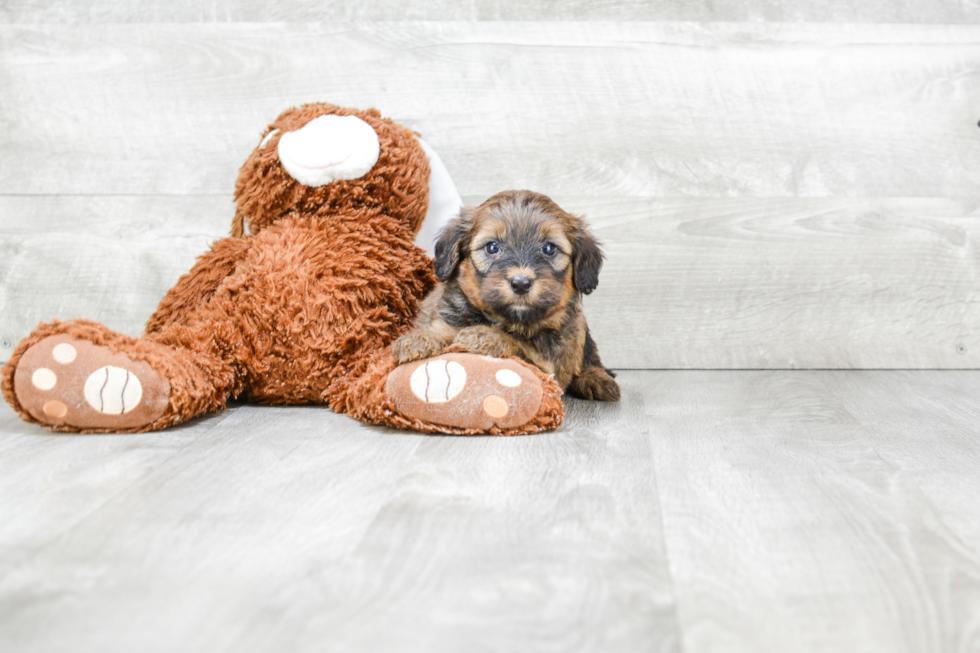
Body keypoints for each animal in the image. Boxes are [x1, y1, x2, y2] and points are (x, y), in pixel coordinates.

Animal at [392, 188, 616, 400]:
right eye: (492, 247)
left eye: (549, 249)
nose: (521, 283)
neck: (505, 319)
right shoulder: (446, 319)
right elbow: (438, 331)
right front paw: (418, 339)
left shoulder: (548, 365)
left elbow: (518, 345)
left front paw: (486, 336)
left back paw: (596, 379)